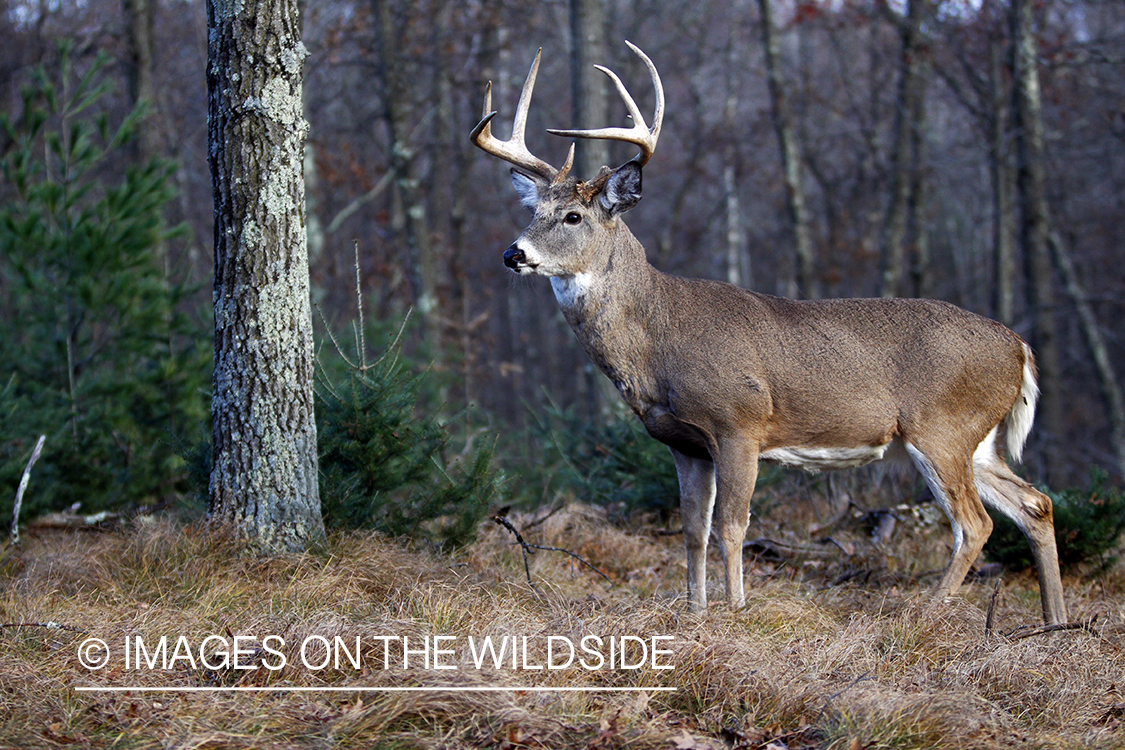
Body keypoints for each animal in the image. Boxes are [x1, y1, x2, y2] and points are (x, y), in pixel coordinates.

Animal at [470, 42, 1066, 629]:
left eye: (573, 216)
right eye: (533, 209)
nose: (512, 253)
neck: (658, 340)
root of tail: (1020, 347)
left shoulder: (739, 424)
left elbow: (733, 526)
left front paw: (737, 611)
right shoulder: (684, 444)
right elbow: (693, 529)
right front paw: (695, 612)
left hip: (941, 427)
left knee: (976, 523)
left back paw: (923, 614)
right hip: (978, 440)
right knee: (1036, 504)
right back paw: (1054, 622)